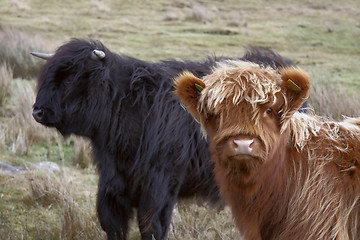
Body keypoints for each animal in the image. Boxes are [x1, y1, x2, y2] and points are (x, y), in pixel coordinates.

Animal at [31, 38, 298, 239]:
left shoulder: (160, 182)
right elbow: (112, 223)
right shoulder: (112, 182)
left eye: (70, 78)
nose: (38, 111)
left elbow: (152, 225)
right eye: (47, 75)